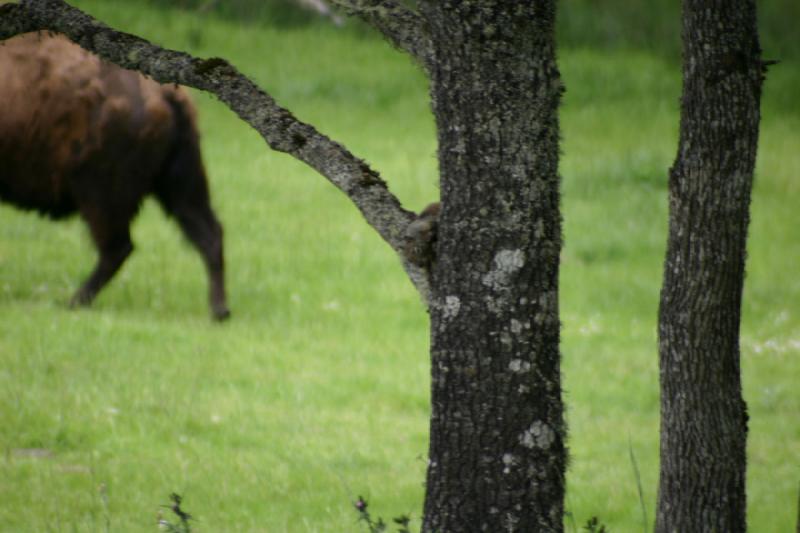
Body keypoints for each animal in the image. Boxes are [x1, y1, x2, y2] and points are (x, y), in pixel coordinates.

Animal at [1, 33, 230, 320]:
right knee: (208, 233)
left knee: (118, 247)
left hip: (100, 194)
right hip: (180, 184)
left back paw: (74, 302)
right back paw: (219, 311)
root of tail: (164, 94)